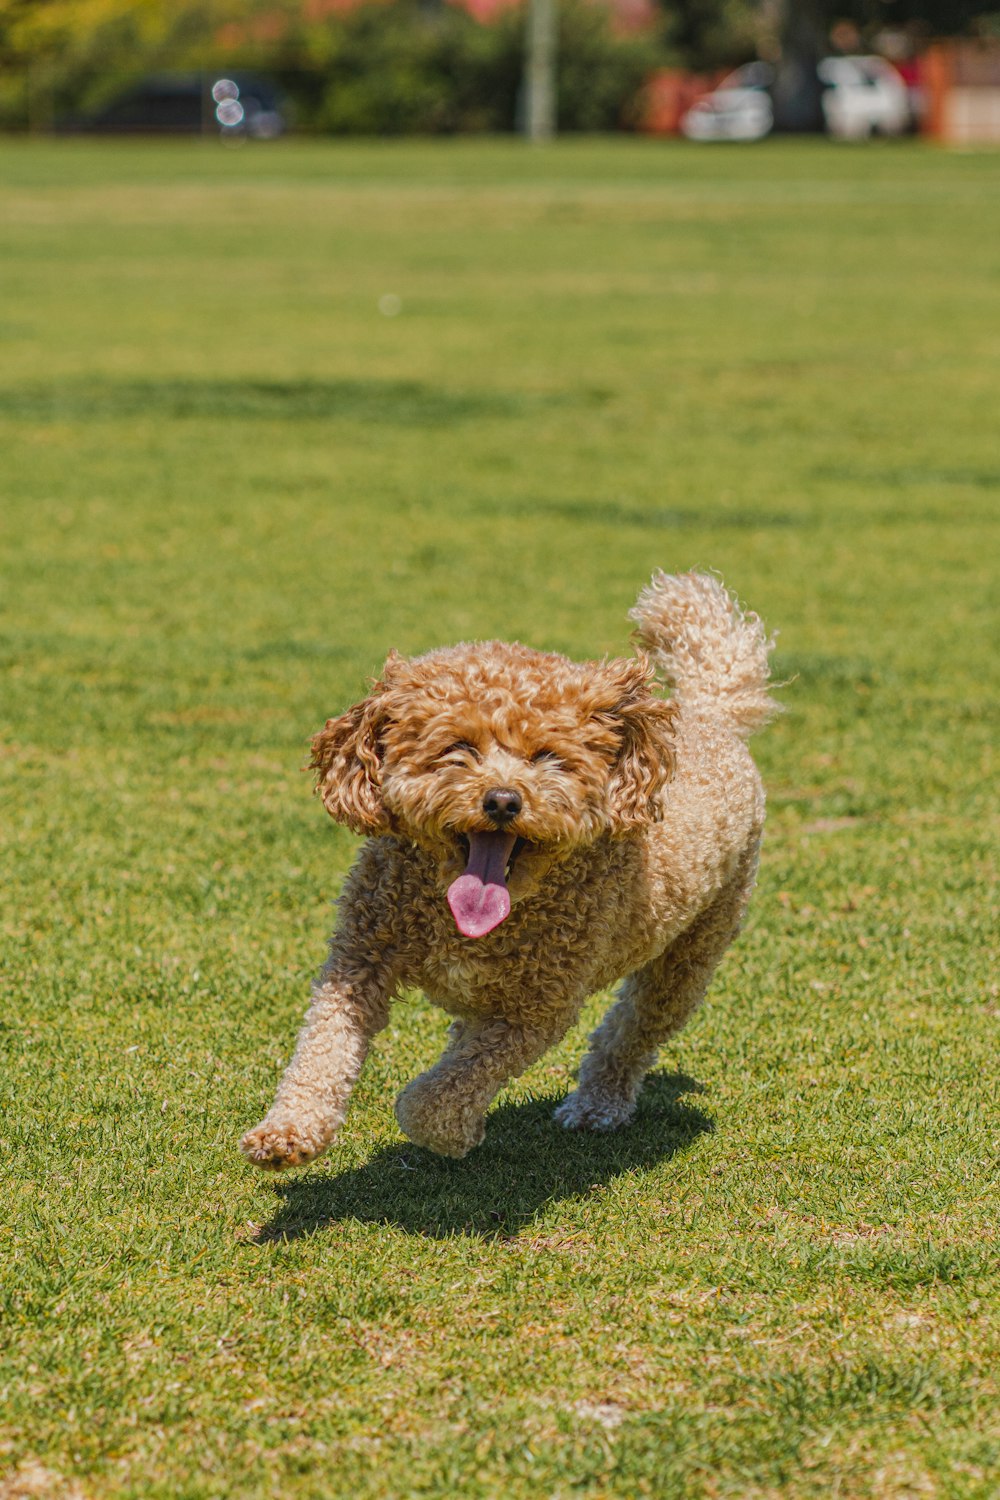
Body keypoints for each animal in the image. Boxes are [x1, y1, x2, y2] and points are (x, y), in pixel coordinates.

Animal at [242, 567, 773, 1164]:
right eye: (458, 747)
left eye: (547, 757)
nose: (501, 800)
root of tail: (711, 713)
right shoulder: (359, 960)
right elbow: (323, 1046)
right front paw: (288, 1130)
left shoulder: (536, 1011)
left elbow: (444, 1093)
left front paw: (449, 1130)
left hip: (693, 950)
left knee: (630, 1032)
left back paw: (598, 1105)